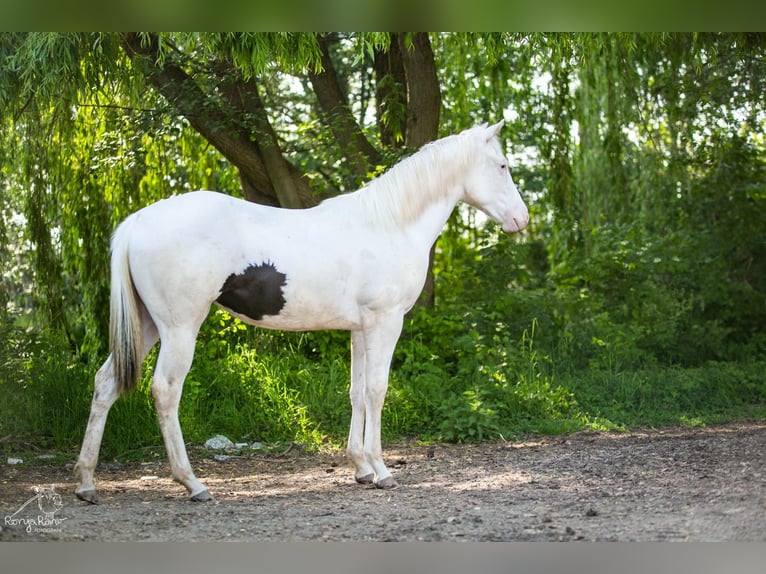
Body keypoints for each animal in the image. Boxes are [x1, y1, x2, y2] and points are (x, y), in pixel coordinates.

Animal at [73, 121, 528, 504]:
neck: (389, 224)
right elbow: (377, 391)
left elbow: (357, 392)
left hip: (148, 326)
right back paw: (192, 483)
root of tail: (136, 222)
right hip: (180, 328)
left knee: (105, 384)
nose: (521, 219)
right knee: (166, 391)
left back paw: (86, 482)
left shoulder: (360, 329)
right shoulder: (385, 323)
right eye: (502, 165)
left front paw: (360, 468)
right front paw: (381, 470)